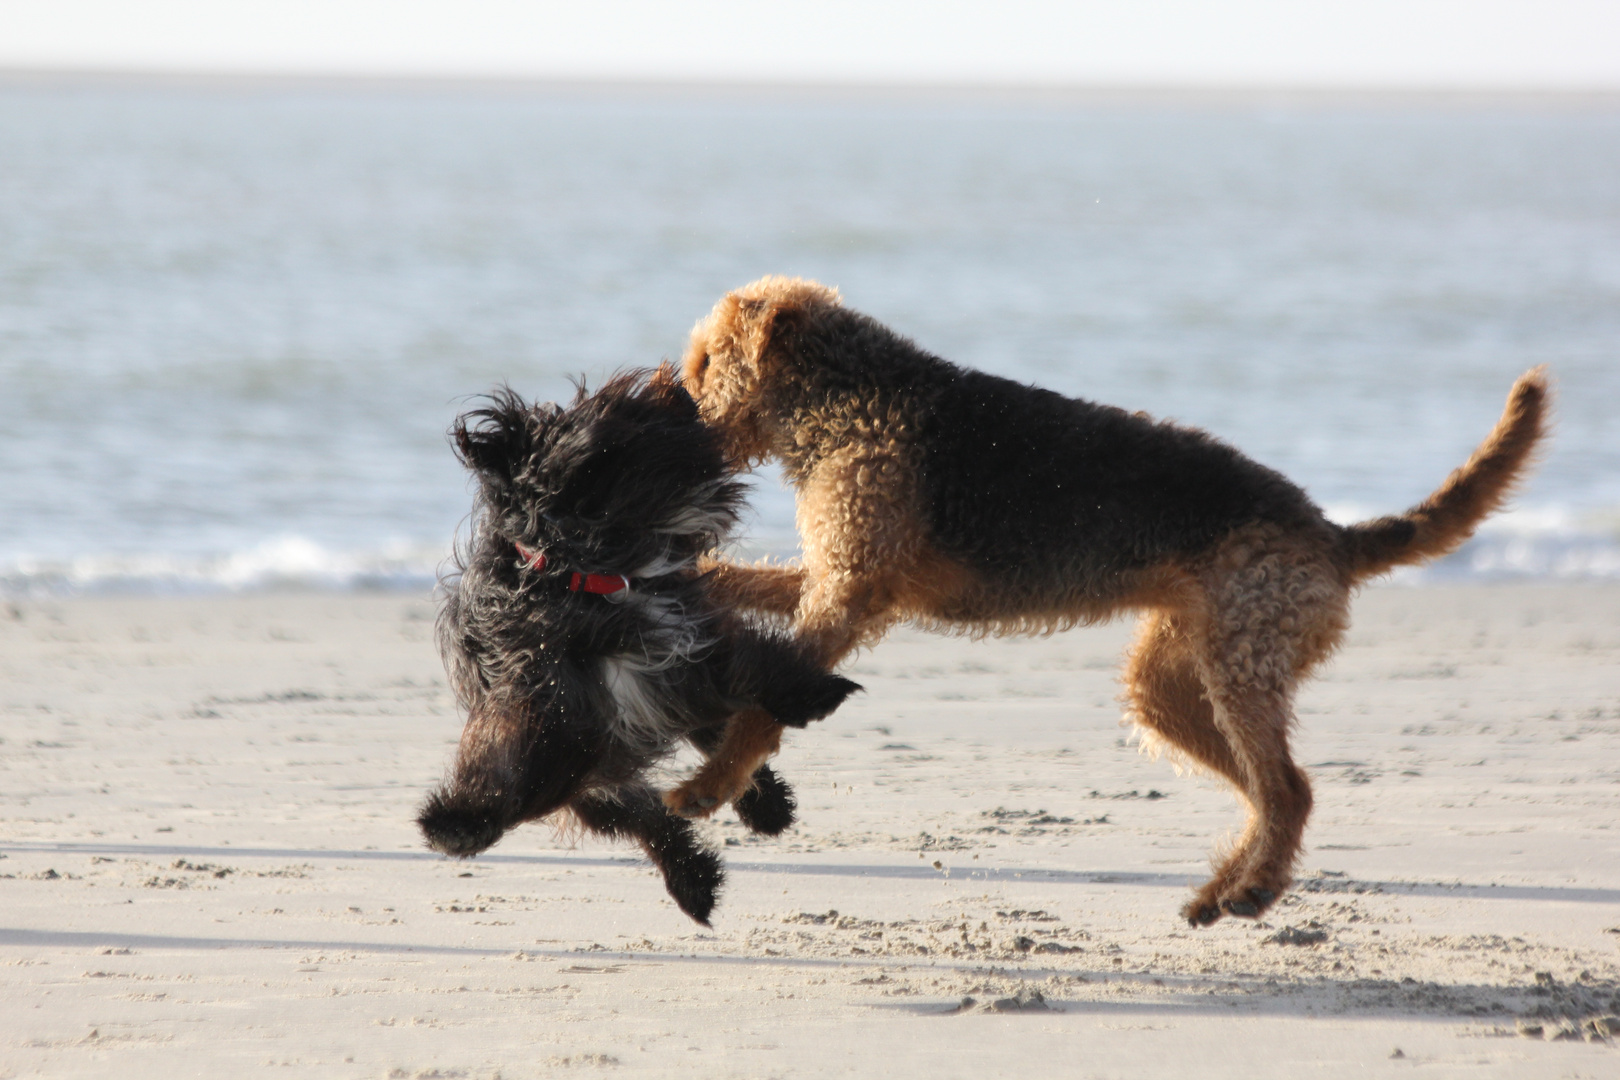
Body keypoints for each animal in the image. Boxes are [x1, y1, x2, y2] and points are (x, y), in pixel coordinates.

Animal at [417, 367, 861, 926]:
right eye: (615, 440)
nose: (680, 393)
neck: (589, 581)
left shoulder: (687, 650)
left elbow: (751, 674)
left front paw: (812, 694)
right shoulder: (543, 701)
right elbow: (514, 768)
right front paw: (458, 824)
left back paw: (760, 810)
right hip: (599, 774)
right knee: (647, 817)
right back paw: (695, 880)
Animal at [667, 275, 1542, 926]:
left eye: (706, 361)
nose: (670, 421)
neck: (848, 400)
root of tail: (1331, 534)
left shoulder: (850, 591)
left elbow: (767, 707)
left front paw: (711, 785)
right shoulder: (836, 578)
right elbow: (739, 583)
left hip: (1239, 666)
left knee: (1286, 788)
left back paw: (1250, 890)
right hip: (1172, 683)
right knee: (1271, 793)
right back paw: (1221, 892)